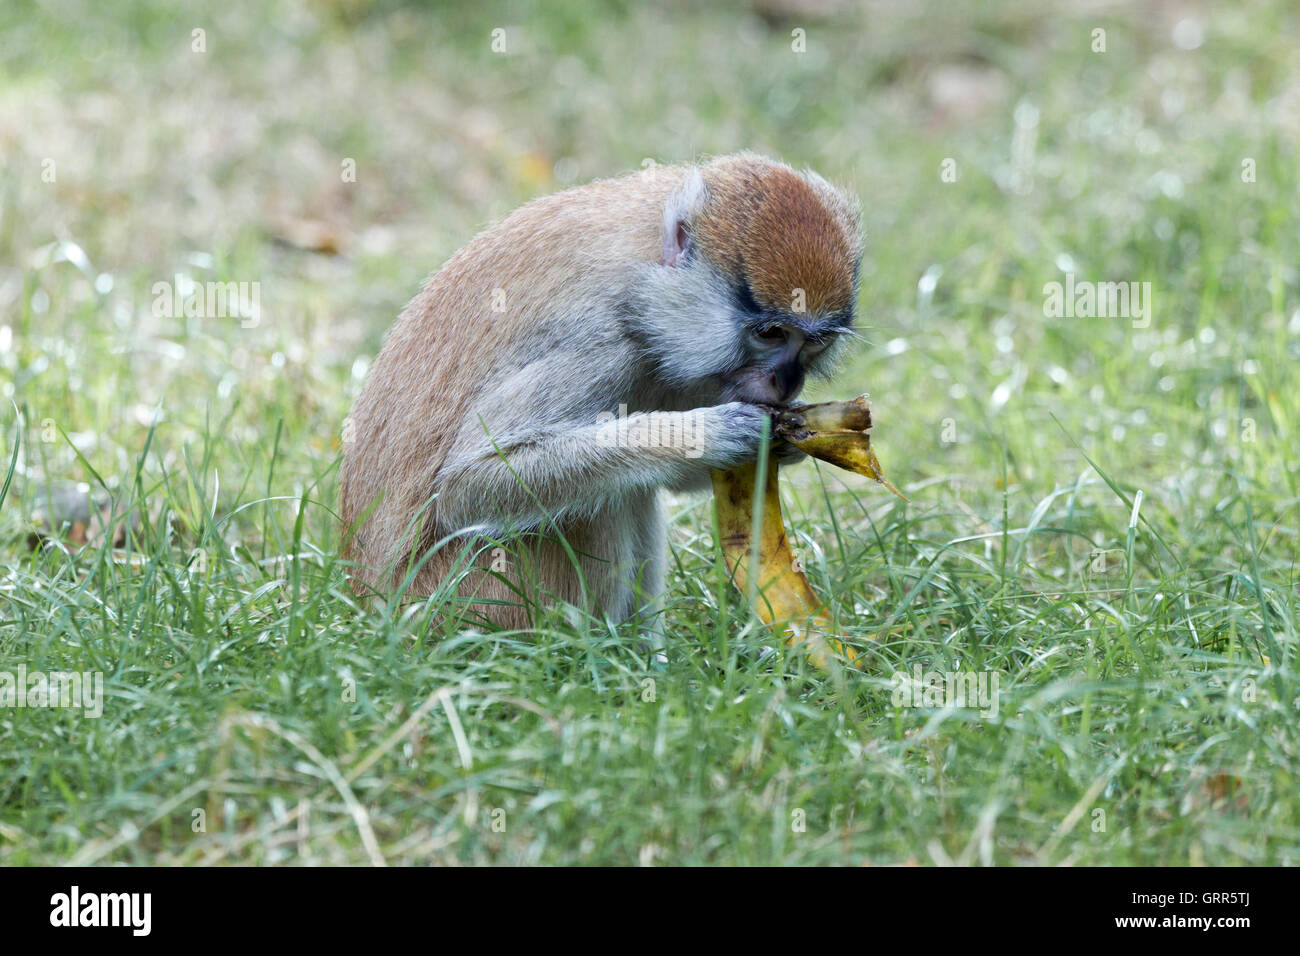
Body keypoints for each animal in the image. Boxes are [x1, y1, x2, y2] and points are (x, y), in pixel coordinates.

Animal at [339, 152, 862, 634]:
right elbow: (467, 486)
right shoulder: (602, 343)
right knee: (600, 503)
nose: (786, 382)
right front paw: (710, 435)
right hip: (474, 599)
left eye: (813, 342)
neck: (646, 276)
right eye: (770, 333)